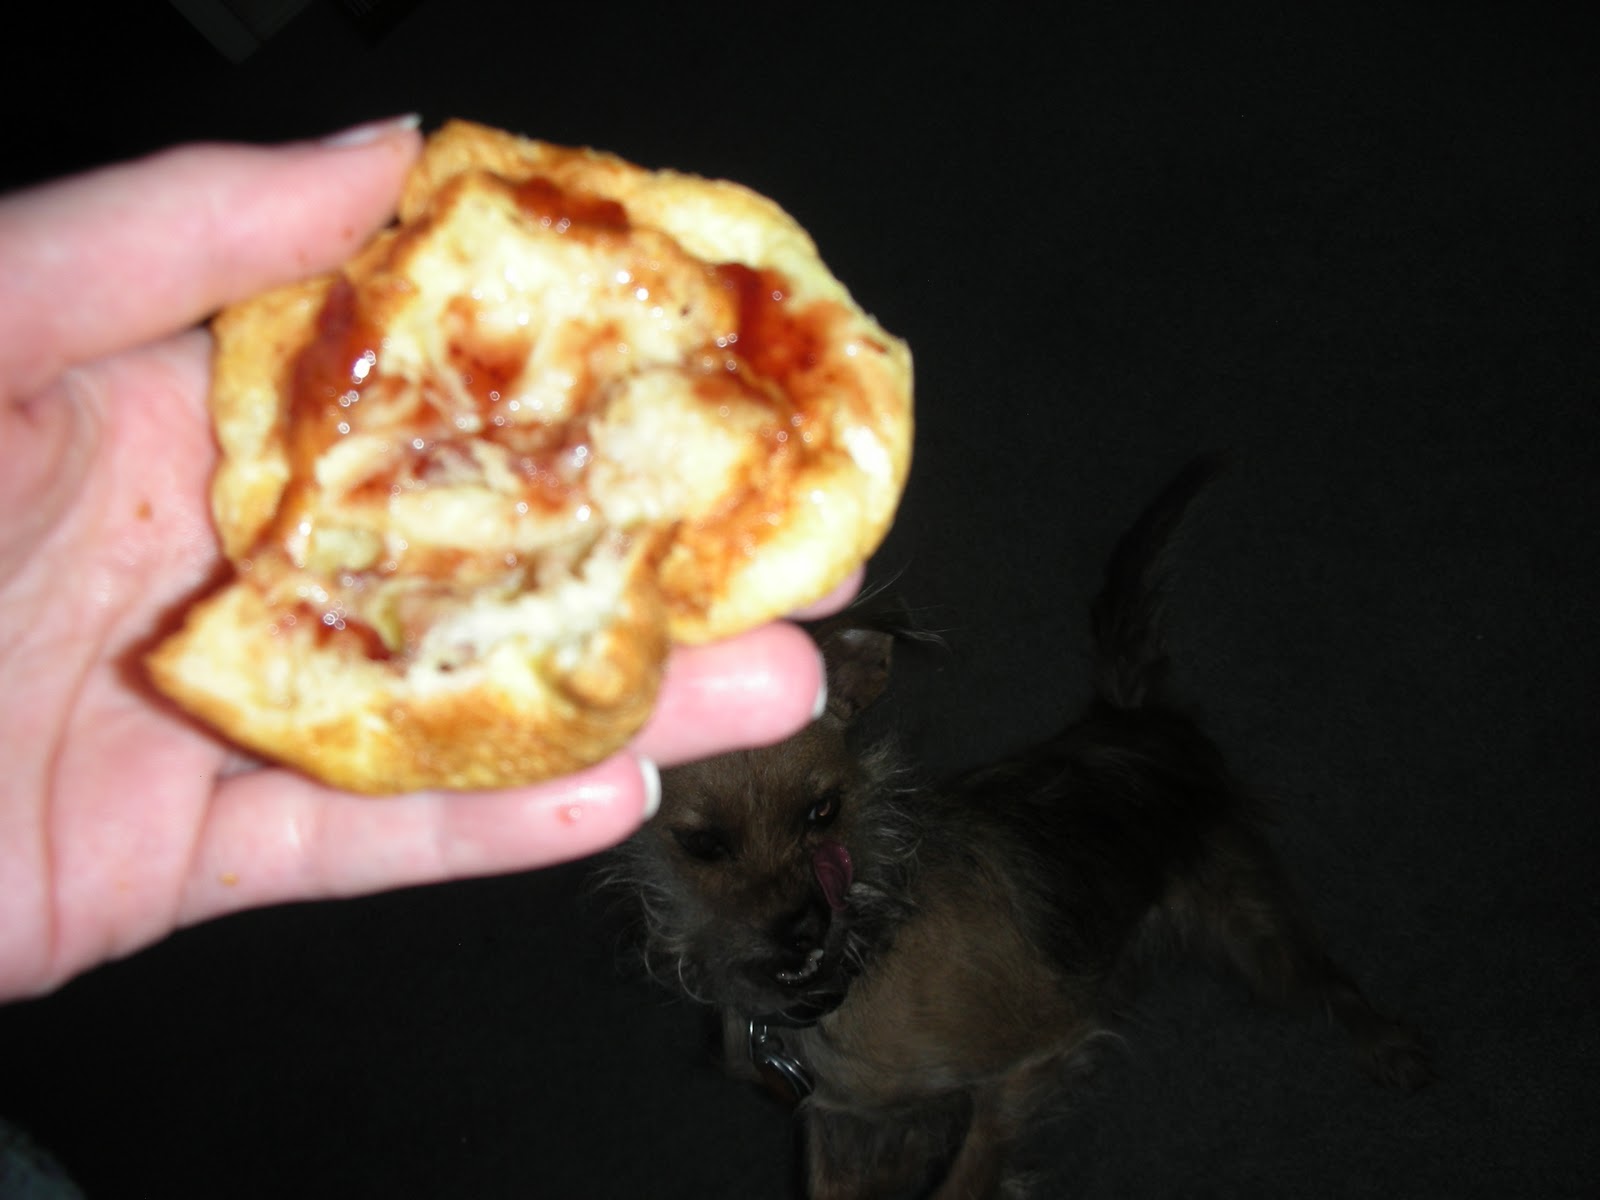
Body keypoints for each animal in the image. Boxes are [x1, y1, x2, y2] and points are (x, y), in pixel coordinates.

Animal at [607, 456, 1432, 1198]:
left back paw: (1383, 1040)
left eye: (823, 812)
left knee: (1328, 977)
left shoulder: (1040, 1050)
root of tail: (1131, 720)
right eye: (703, 845)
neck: (862, 956)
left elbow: (970, 1174)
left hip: (1254, 933)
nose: (804, 927)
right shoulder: (849, 1128)